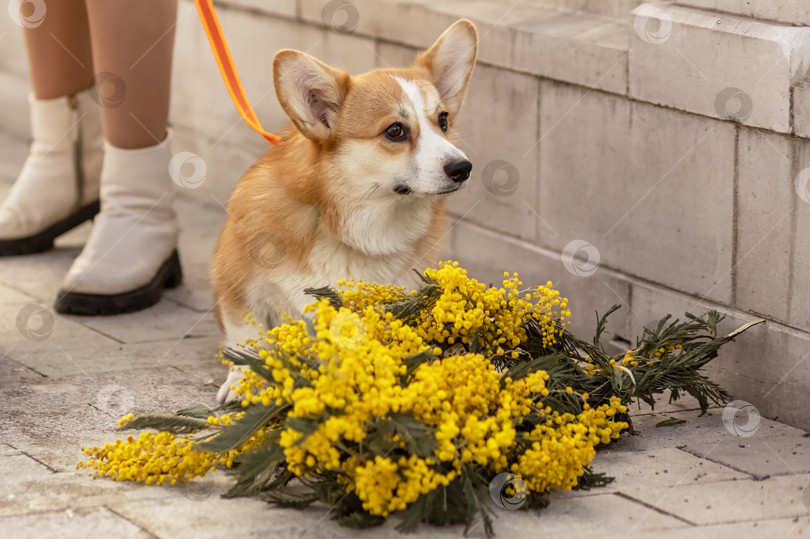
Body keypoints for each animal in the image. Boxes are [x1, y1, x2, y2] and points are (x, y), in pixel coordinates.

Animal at [211, 20, 476, 400]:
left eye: (443, 120)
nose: (462, 168)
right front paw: (246, 381)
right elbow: (248, 338)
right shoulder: (236, 286)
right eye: (395, 130)